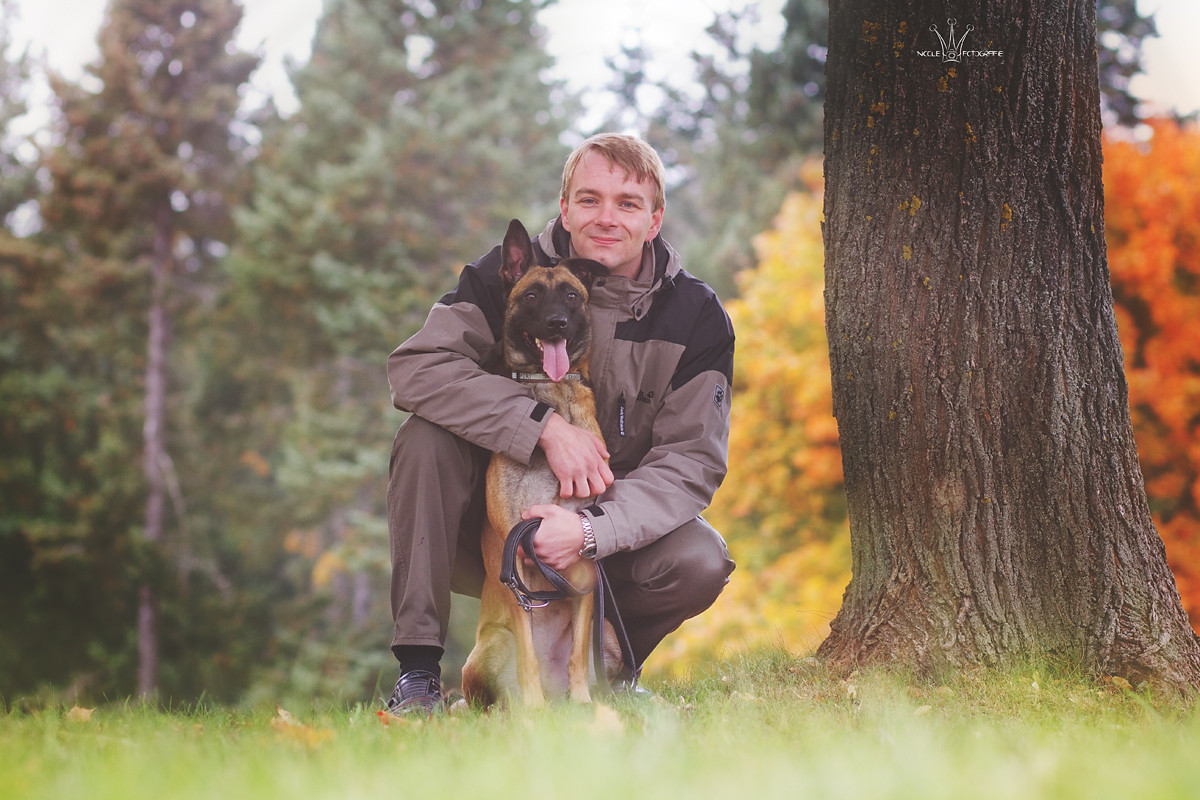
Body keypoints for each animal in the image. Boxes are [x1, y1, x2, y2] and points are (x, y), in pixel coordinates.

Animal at [460, 219, 624, 705]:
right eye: (531, 295)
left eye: (571, 295)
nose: (557, 323)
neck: (555, 393)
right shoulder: (514, 556)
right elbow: (528, 654)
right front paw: (534, 713)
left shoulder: (584, 567)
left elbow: (577, 656)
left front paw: (585, 704)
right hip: (488, 649)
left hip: (609, 637)